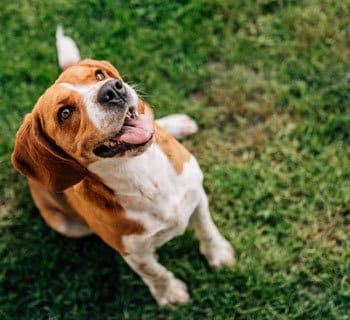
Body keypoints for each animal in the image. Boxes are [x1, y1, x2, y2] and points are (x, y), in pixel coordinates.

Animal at [11, 26, 235, 306]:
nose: (112, 89)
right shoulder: (131, 252)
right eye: (64, 113)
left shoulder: (197, 195)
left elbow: (207, 229)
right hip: (66, 226)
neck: (141, 172)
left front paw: (218, 254)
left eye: (99, 75)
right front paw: (169, 294)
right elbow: (154, 272)